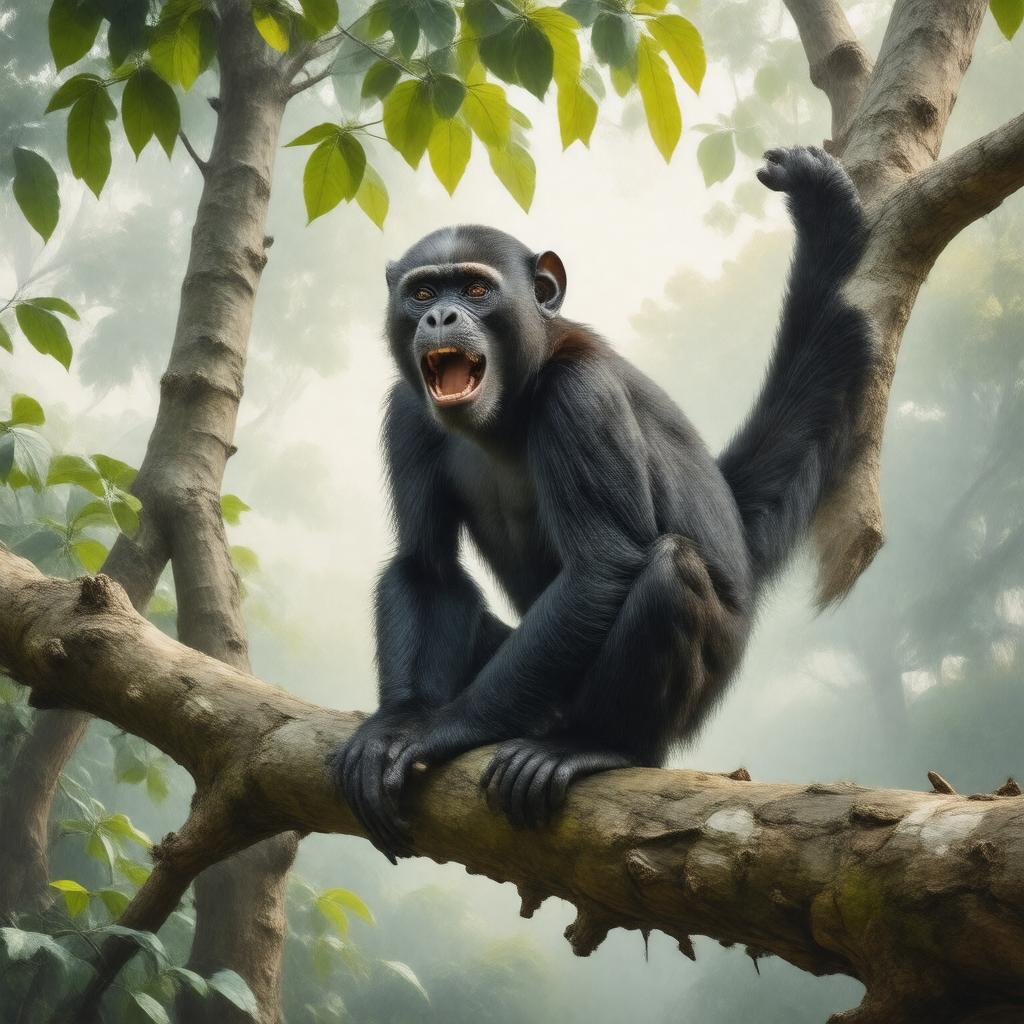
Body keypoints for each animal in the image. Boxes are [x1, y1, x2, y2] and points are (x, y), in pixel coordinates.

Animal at [329, 146, 874, 862]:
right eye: (422, 292)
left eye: (474, 290)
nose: (439, 317)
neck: (512, 400)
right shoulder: (406, 411)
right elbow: (427, 567)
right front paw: (394, 723)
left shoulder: (579, 398)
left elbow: (603, 565)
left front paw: (434, 731)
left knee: (670, 570)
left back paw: (592, 746)